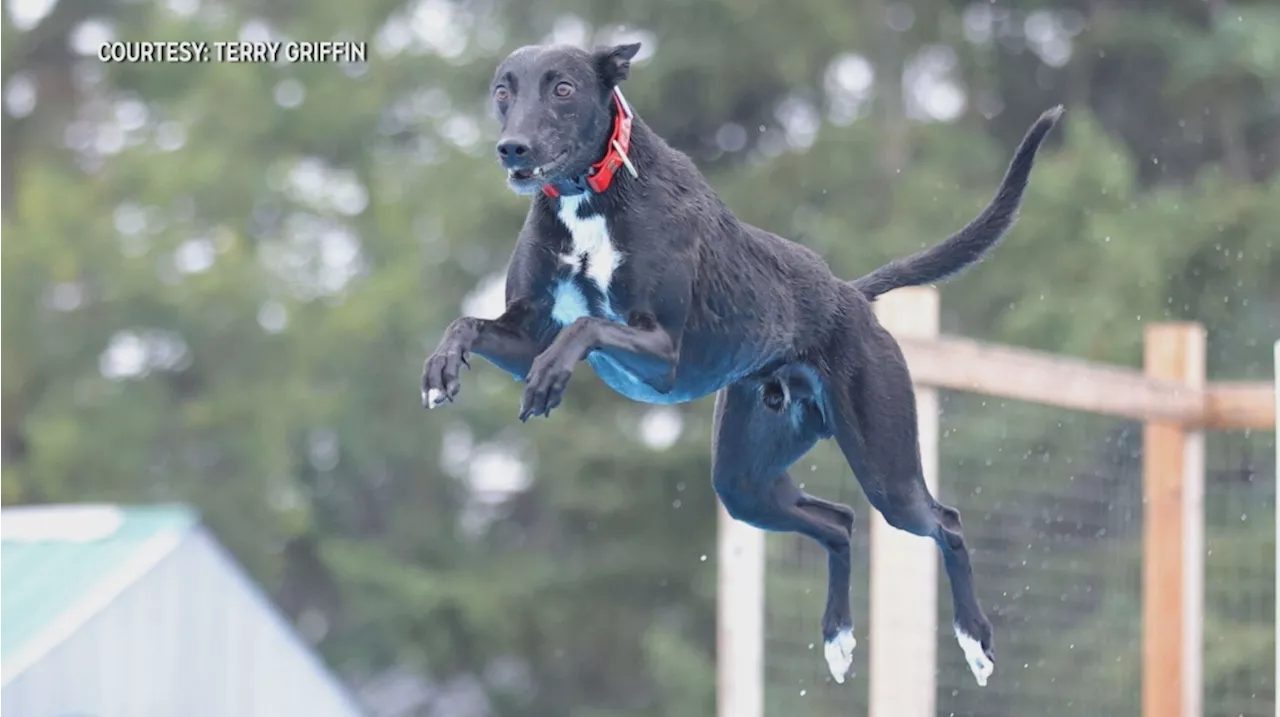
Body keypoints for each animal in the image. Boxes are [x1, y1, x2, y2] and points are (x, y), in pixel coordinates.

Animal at [419, 40, 1059, 691]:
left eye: (564, 88)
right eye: (503, 90)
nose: (512, 148)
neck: (590, 195)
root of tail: (849, 295)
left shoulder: (664, 355)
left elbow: (585, 327)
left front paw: (550, 380)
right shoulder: (525, 334)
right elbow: (470, 324)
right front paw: (443, 367)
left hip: (888, 471)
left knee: (945, 522)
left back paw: (975, 640)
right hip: (744, 481)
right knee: (839, 521)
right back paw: (838, 637)